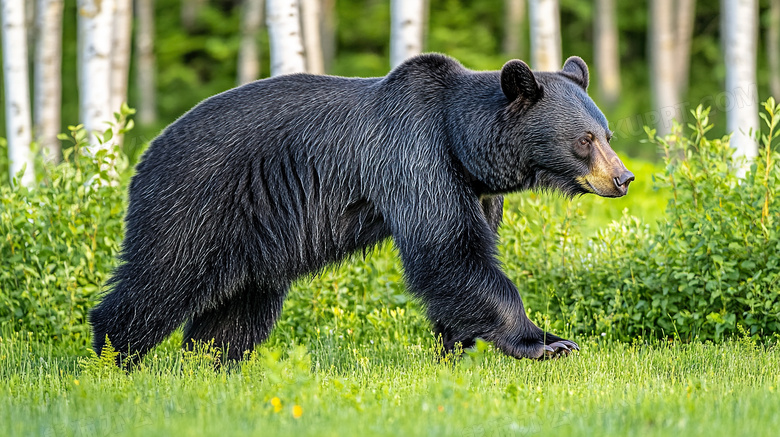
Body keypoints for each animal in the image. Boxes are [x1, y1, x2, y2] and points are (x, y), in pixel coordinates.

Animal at [90, 52, 632, 362]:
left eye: (607, 135)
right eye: (584, 140)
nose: (623, 178)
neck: (463, 145)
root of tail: (143, 155)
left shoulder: (478, 189)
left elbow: (464, 258)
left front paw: (455, 343)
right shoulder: (415, 156)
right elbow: (448, 249)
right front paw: (546, 342)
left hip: (253, 238)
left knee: (239, 307)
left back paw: (210, 361)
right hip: (196, 200)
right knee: (160, 277)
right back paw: (112, 355)